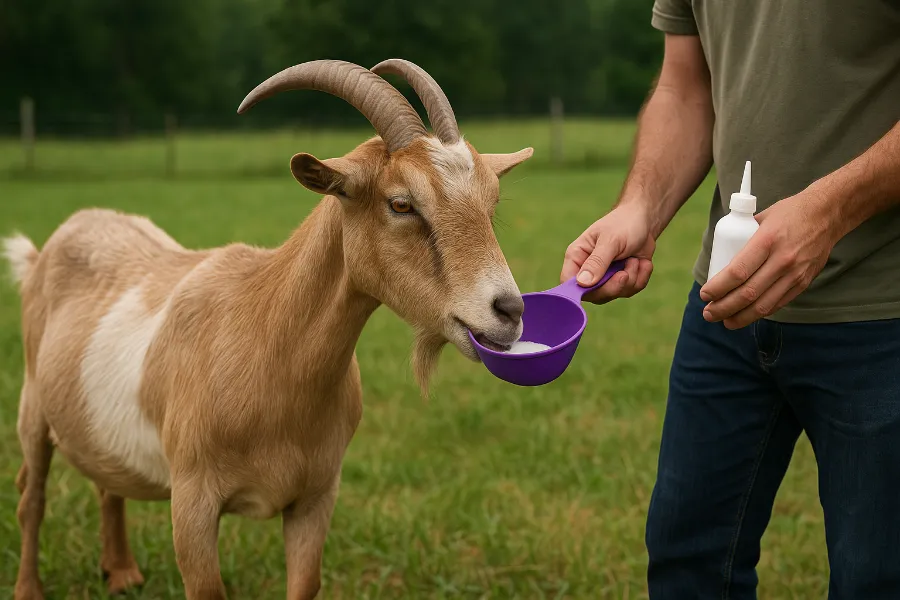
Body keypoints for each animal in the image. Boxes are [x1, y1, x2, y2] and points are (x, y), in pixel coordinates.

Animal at [5, 59, 532, 600]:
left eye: (491, 202)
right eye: (401, 204)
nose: (509, 310)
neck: (265, 341)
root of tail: (53, 245)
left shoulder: (315, 497)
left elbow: (305, 582)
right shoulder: (191, 503)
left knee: (105, 482)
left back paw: (122, 572)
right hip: (32, 404)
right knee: (31, 496)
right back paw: (29, 588)